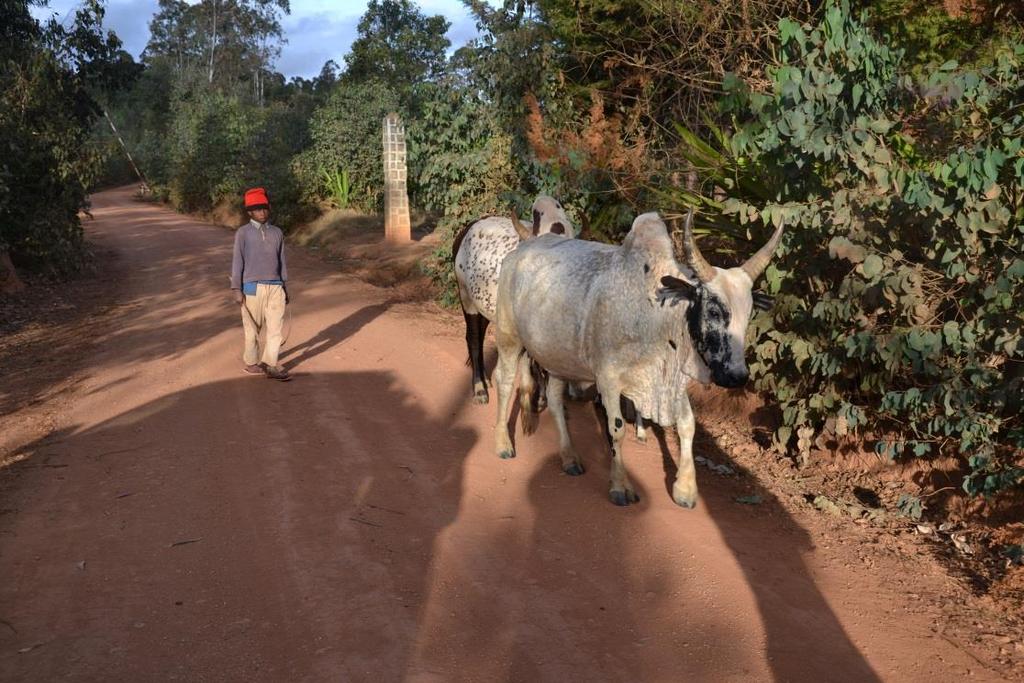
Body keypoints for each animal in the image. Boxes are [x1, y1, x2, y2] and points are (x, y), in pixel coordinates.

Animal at [491, 210, 778, 505]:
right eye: (713, 310)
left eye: (749, 313)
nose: (736, 376)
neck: (656, 315)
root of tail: (521, 249)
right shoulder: (608, 380)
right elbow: (617, 430)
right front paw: (620, 485)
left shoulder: (672, 381)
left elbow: (687, 426)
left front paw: (685, 488)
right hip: (508, 336)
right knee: (503, 381)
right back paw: (503, 443)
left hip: (559, 357)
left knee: (555, 398)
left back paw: (569, 457)